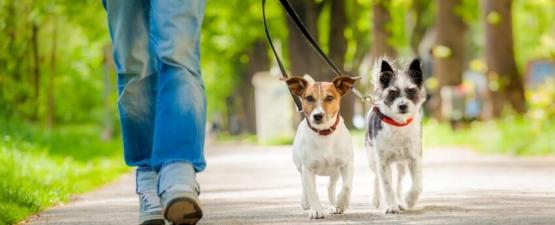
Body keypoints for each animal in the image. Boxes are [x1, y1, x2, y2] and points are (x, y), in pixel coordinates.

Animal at [282, 74, 360, 219]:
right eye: (309, 98)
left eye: (329, 97)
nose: (318, 115)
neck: (324, 134)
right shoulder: (308, 168)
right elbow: (312, 191)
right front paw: (317, 210)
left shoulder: (347, 164)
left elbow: (346, 186)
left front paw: (341, 203)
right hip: (300, 167)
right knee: (305, 185)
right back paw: (306, 202)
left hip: (335, 171)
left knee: (331, 187)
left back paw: (334, 204)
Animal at [368, 59, 428, 214]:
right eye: (392, 92)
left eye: (411, 91)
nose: (402, 106)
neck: (398, 124)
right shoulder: (382, 161)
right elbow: (386, 185)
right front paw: (390, 206)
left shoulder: (414, 158)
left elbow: (418, 184)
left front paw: (409, 200)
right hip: (372, 158)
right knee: (376, 177)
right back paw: (377, 199)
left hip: (402, 165)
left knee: (399, 182)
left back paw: (400, 201)